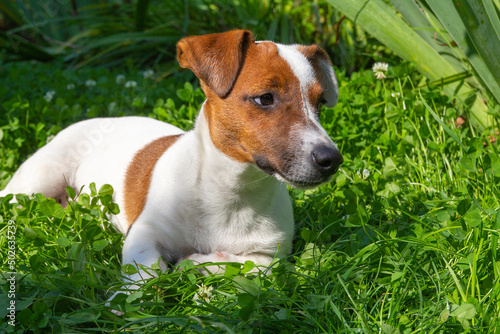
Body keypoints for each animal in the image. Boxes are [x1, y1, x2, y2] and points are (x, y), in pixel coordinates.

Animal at [0, 30, 342, 302]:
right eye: (265, 98)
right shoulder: (144, 233)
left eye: (320, 103)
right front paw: (127, 301)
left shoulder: (270, 255)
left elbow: (244, 265)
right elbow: (147, 271)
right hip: (34, 183)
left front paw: (200, 262)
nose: (332, 160)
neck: (230, 192)